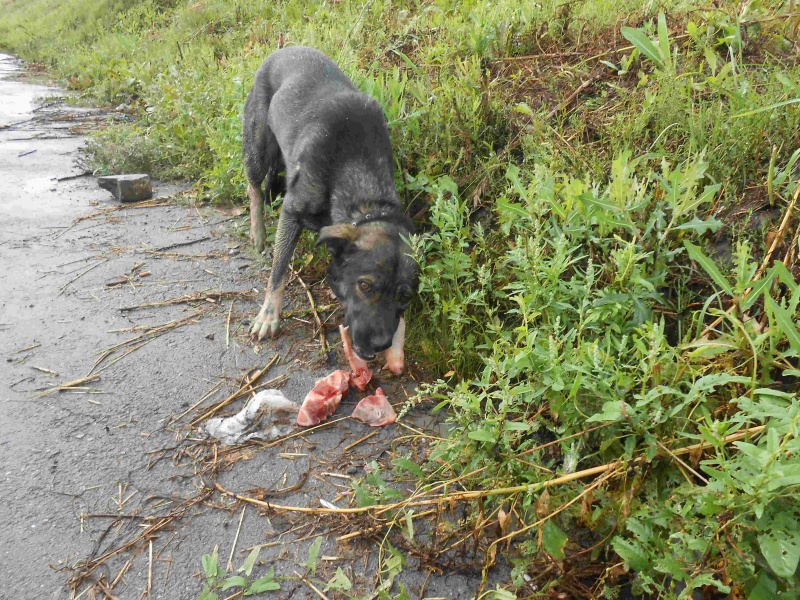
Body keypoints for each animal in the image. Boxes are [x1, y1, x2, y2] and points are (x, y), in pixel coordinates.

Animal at [242, 46, 418, 371]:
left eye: (405, 297)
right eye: (365, 286)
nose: (381, 344)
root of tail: (285, 48)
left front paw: (398, 349)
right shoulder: (291, 214)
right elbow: (279, 270)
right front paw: (269, 314)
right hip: (257, 148)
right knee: (254, 188)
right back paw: (257, 232)